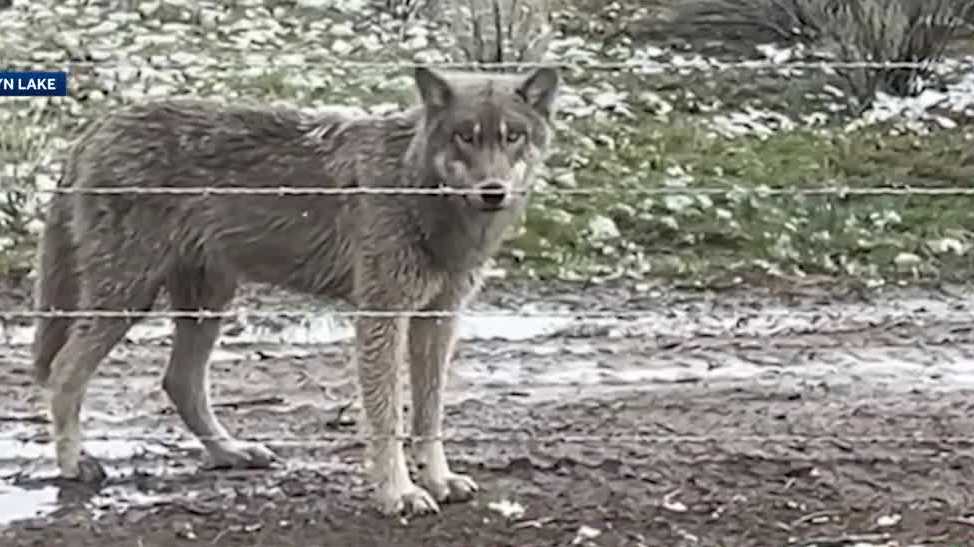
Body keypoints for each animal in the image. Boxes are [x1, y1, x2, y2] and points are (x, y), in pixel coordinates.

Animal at [30, 63, 559, 516]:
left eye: (512, 137)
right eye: (465, 137)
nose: (493, 191)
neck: (418, 192)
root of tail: (96, 128)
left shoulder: (439, 319)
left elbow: (430, 414)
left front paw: (438, 481)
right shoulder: (381, 317)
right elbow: (387, 418)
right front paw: (398, 494)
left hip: (207, 303)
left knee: (179, 381)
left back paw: (229, 451)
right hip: (129, 299)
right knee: (65, 373)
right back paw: (73, 465)